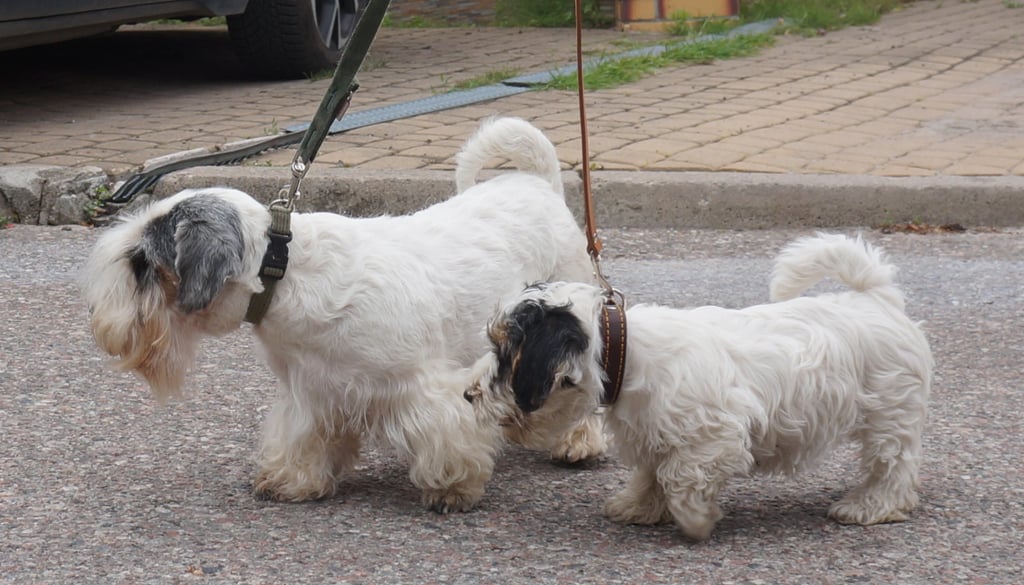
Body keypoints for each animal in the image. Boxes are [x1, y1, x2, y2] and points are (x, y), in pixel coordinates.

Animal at [86, 117, 606, 512]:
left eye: (140, 262)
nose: (97, 318)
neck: (285, 276)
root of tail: (536, 182)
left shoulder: (423, 388)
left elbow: (446, 435)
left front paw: (452, 488)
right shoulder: (312, 393)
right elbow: (303, 437)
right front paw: (292, 478)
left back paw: (577, 442)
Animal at [468, 233, 933, 540]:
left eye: (506, 353)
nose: (469, 395)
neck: (627, 352)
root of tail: (876, 299)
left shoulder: (713, 439)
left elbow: (680, 477)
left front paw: (696, 521)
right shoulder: (654, 433)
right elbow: (652, 473)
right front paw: (638, 507)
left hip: (890, 415)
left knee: (893, 466)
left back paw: (870, 506)